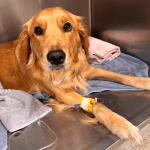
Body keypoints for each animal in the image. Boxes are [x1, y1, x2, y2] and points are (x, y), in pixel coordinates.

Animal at [0, 7, 149, 143]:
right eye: (37, 30)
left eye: (67, 26)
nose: (56, 57)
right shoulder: (62, 93)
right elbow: (96, 104)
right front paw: (121, 124)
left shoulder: (87, 70)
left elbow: (120, 76)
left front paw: (145, 81)